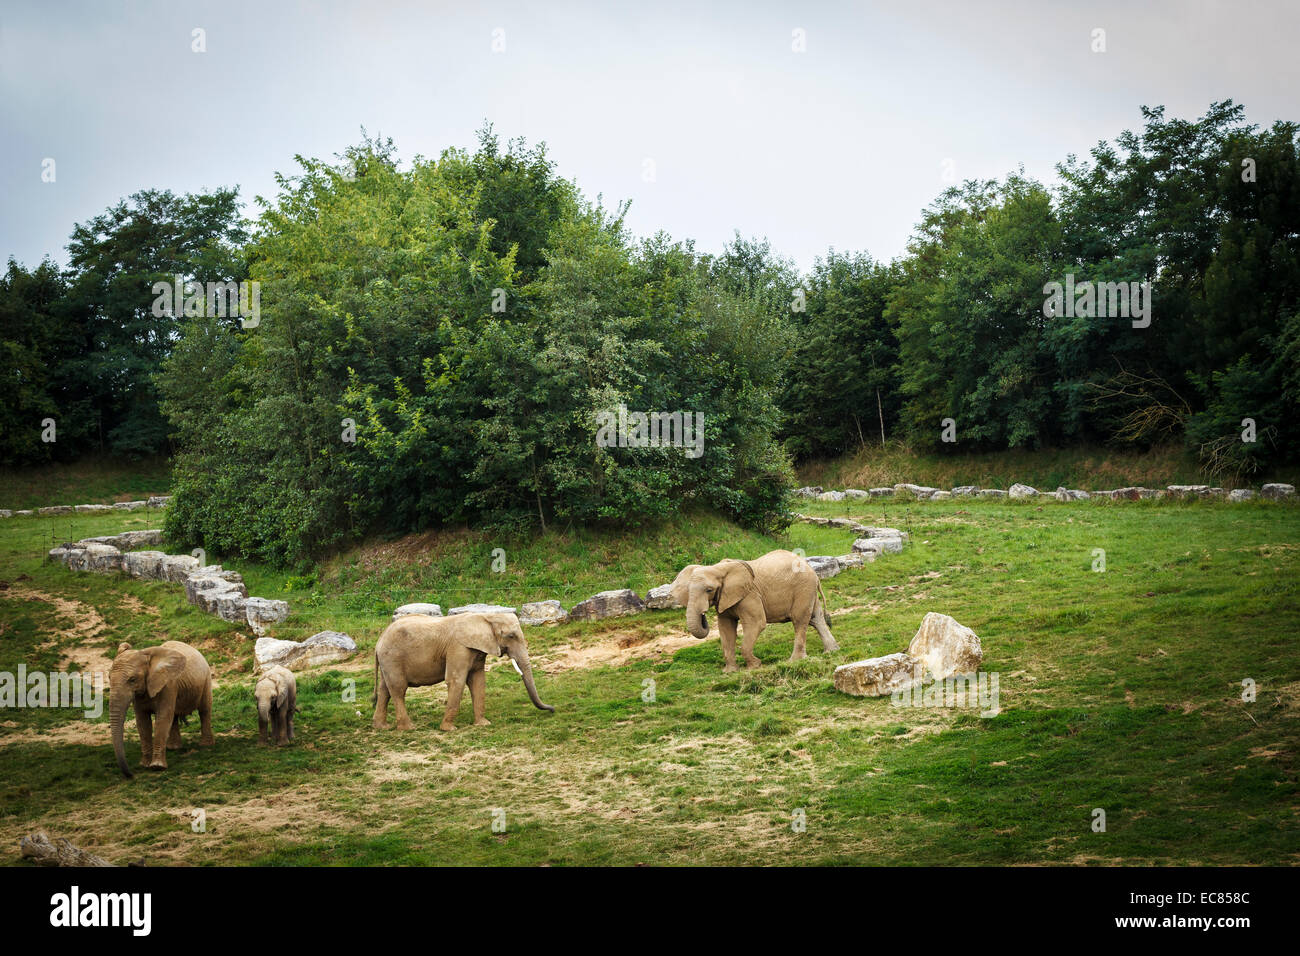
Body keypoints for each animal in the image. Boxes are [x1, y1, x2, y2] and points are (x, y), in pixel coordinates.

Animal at [109, 641, 214, 777]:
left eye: (132, 679)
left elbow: (162, 718)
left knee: (204, 710)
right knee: (174, 716)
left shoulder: (168, 685)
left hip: (206, 678)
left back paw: (206, 746)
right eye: (109, 677)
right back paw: (173, 748)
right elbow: (143, 722)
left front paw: (157, 767)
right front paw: (144, 765)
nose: (131, 775)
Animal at [372, 611, 554, 731]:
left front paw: (483, 724)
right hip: (392, 658)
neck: (486, 617)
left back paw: (382, 727)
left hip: (388, 661)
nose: (552, 710)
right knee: (398, 689)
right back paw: (408, 728)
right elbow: (456, 680)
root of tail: (378, 642)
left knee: (385, 689)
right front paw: (449, 729)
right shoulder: (458, 647)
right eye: (511, 636)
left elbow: (478, 681)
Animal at [682, 549, 838, 670]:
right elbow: (726, 628)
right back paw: (831, 651)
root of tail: (813, 570)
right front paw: (730, 672)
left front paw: (755, 666)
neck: (718, 568)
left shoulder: (749, 595)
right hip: (808, 590)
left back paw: (795, 661)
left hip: (803, 588)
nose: (703, 614)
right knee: (816, 619)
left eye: (709, 590)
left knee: (799, 620)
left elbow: (756, 623)